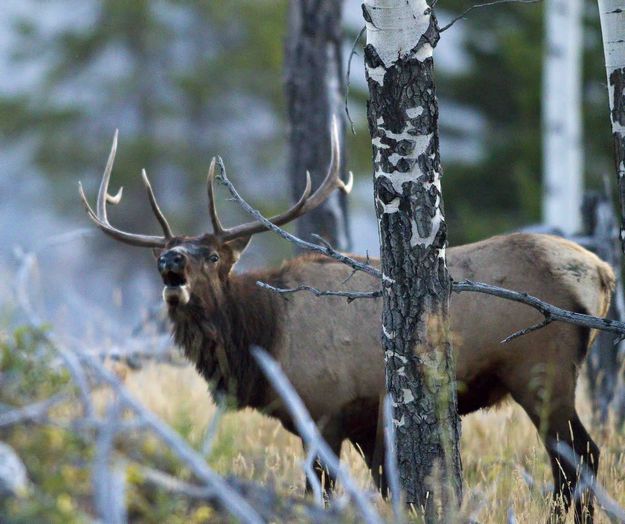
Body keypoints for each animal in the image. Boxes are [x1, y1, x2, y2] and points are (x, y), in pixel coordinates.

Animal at [80, 128, 612, 524]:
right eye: (170, 252)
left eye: (212, 255)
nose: (169, 261)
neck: (265, 340)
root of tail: (601, 272)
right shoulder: (363, 421)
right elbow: (388, 489)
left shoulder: (327, 410)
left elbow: (324, 491)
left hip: (541, 370)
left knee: (577, 457)